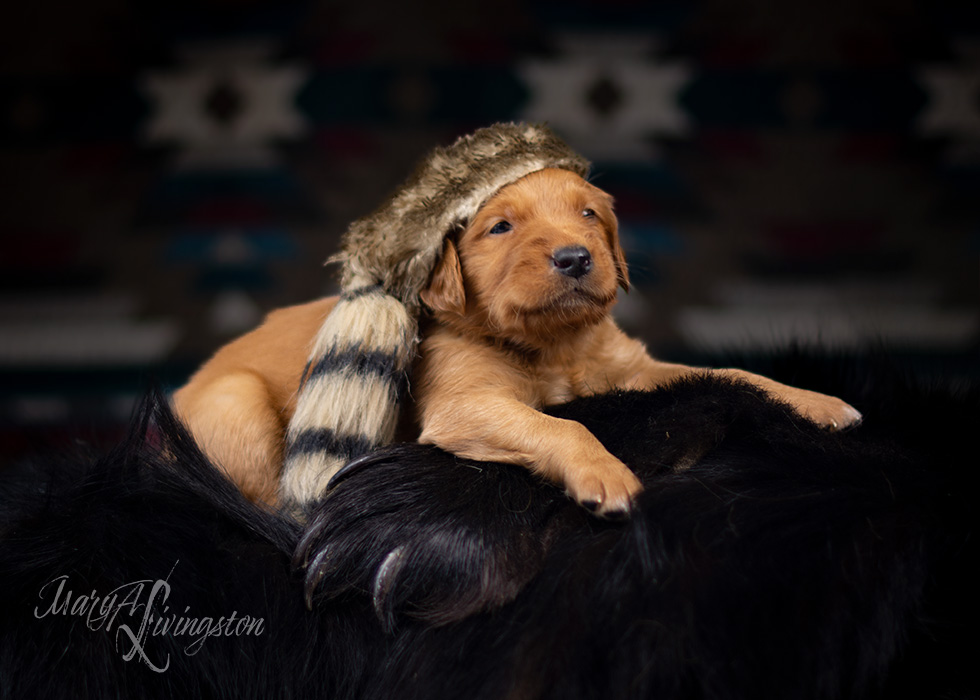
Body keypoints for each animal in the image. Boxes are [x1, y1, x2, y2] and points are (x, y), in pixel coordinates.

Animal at [172, 167, 860, 520]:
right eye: (500, 227)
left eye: (588, 214)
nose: (576, 258)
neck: (554, 344)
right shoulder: (465, 404)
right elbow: (562, 425)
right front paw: (605, 473)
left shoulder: (633, 369)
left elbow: (733, 375)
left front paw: (817, 402)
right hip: (237, 403)